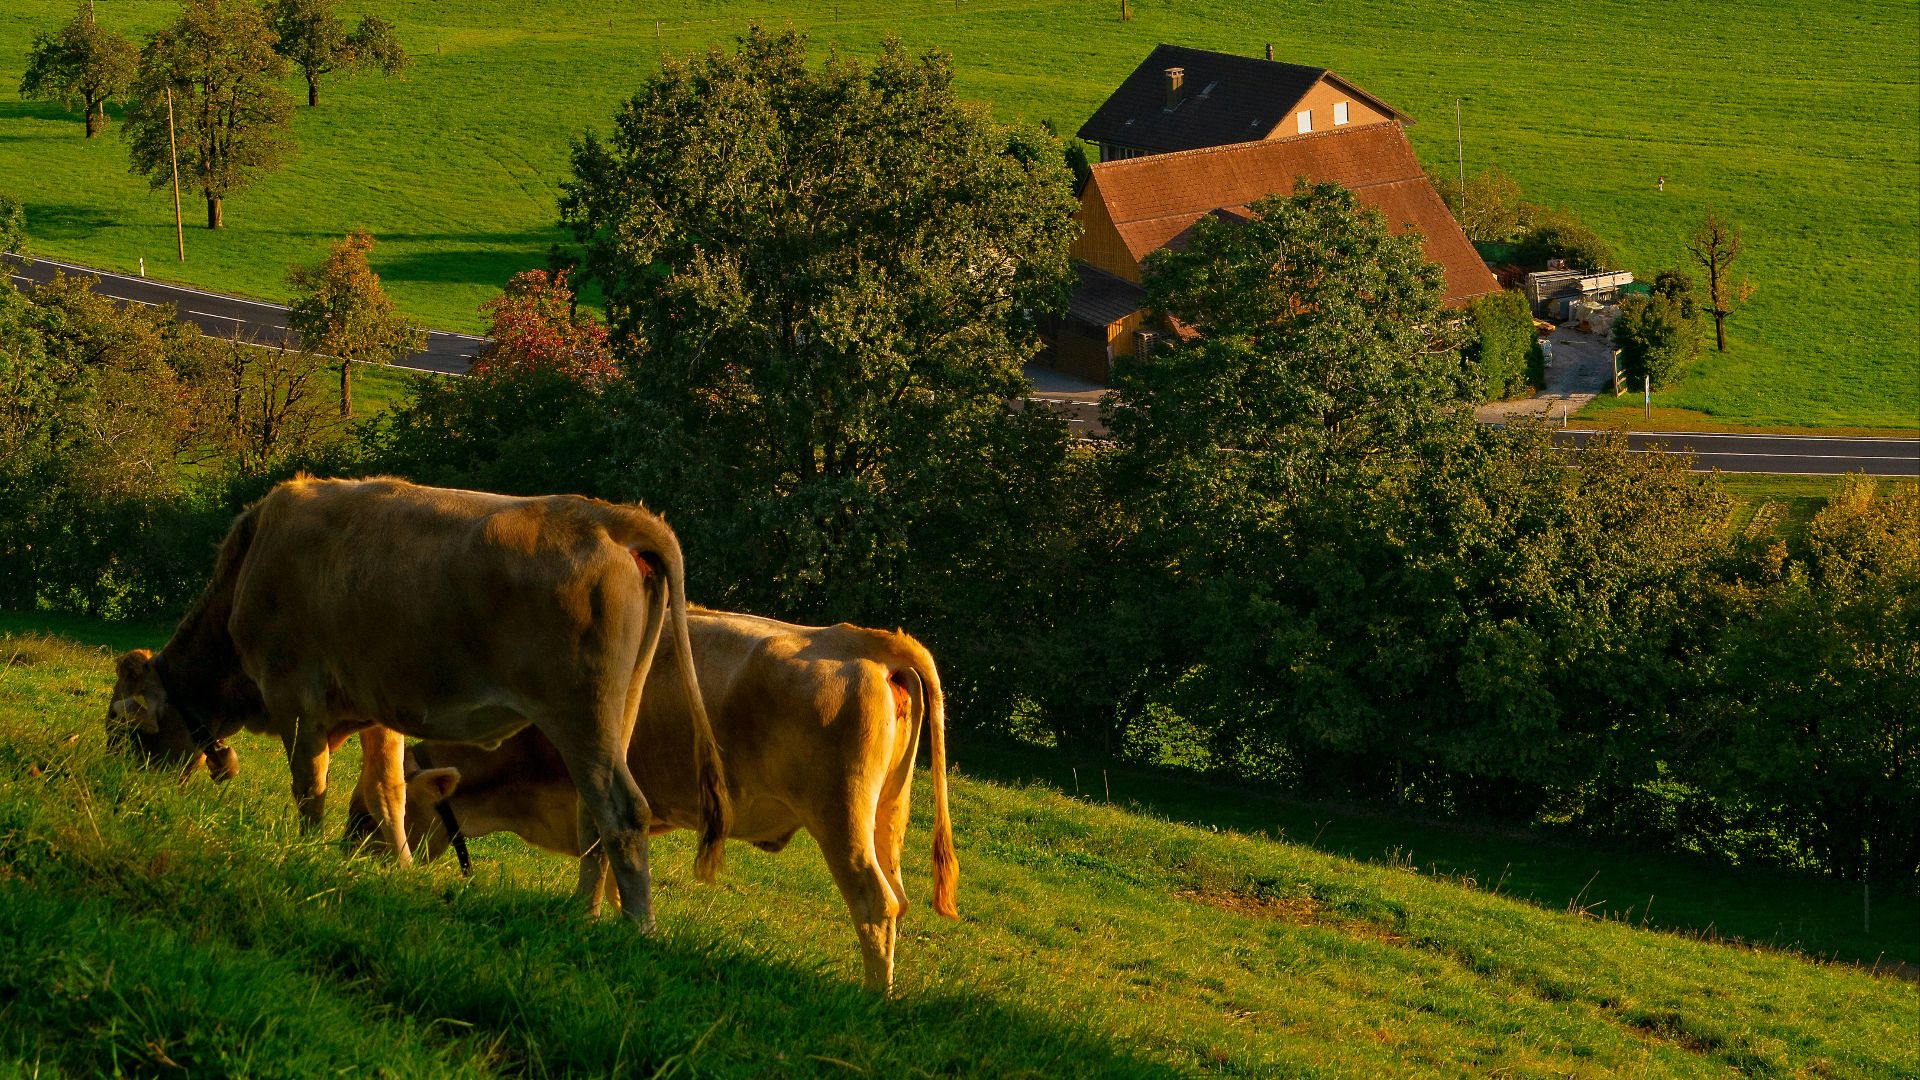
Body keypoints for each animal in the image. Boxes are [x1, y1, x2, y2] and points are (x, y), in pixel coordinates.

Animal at [105, 475, 730, 931]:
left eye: (123, 728)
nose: (121, 791)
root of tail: (607, 516)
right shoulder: (373, 706)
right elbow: (388, 789)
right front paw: (397, 866)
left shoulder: (294, 695)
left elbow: (310, 785)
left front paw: (300, 852)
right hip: (616, 712)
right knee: (593, 818)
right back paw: (583, 914)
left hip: (580, 714)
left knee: (621, 812)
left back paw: (636, 928)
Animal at [350, 608, 957, 993]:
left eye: (371, 813)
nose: (348, 855)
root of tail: (858, 639)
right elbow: (621, 863)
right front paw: (625, 926)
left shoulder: (587, 784)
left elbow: (597, 853)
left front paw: (582, 918)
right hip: (886, 817)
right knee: (897, 898)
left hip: (840, 813)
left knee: (873, 901)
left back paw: (872, 997)